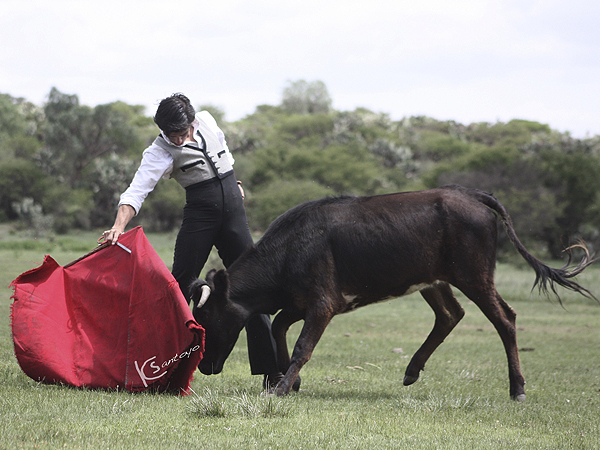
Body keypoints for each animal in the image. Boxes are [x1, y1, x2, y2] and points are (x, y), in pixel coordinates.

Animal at [190, 185, 592, 402]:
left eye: (206, 315)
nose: (205, 366)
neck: (291, 247)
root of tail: (469, 194)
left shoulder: (322, 304)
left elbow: (304, 344)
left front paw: (281, 387)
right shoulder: (302, 303)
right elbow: (278, 328)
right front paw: (292, 380)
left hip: (474, 277)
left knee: (504, 318)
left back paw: (517, 388)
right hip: (434, 280)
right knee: (450, 315)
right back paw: (412, 370)